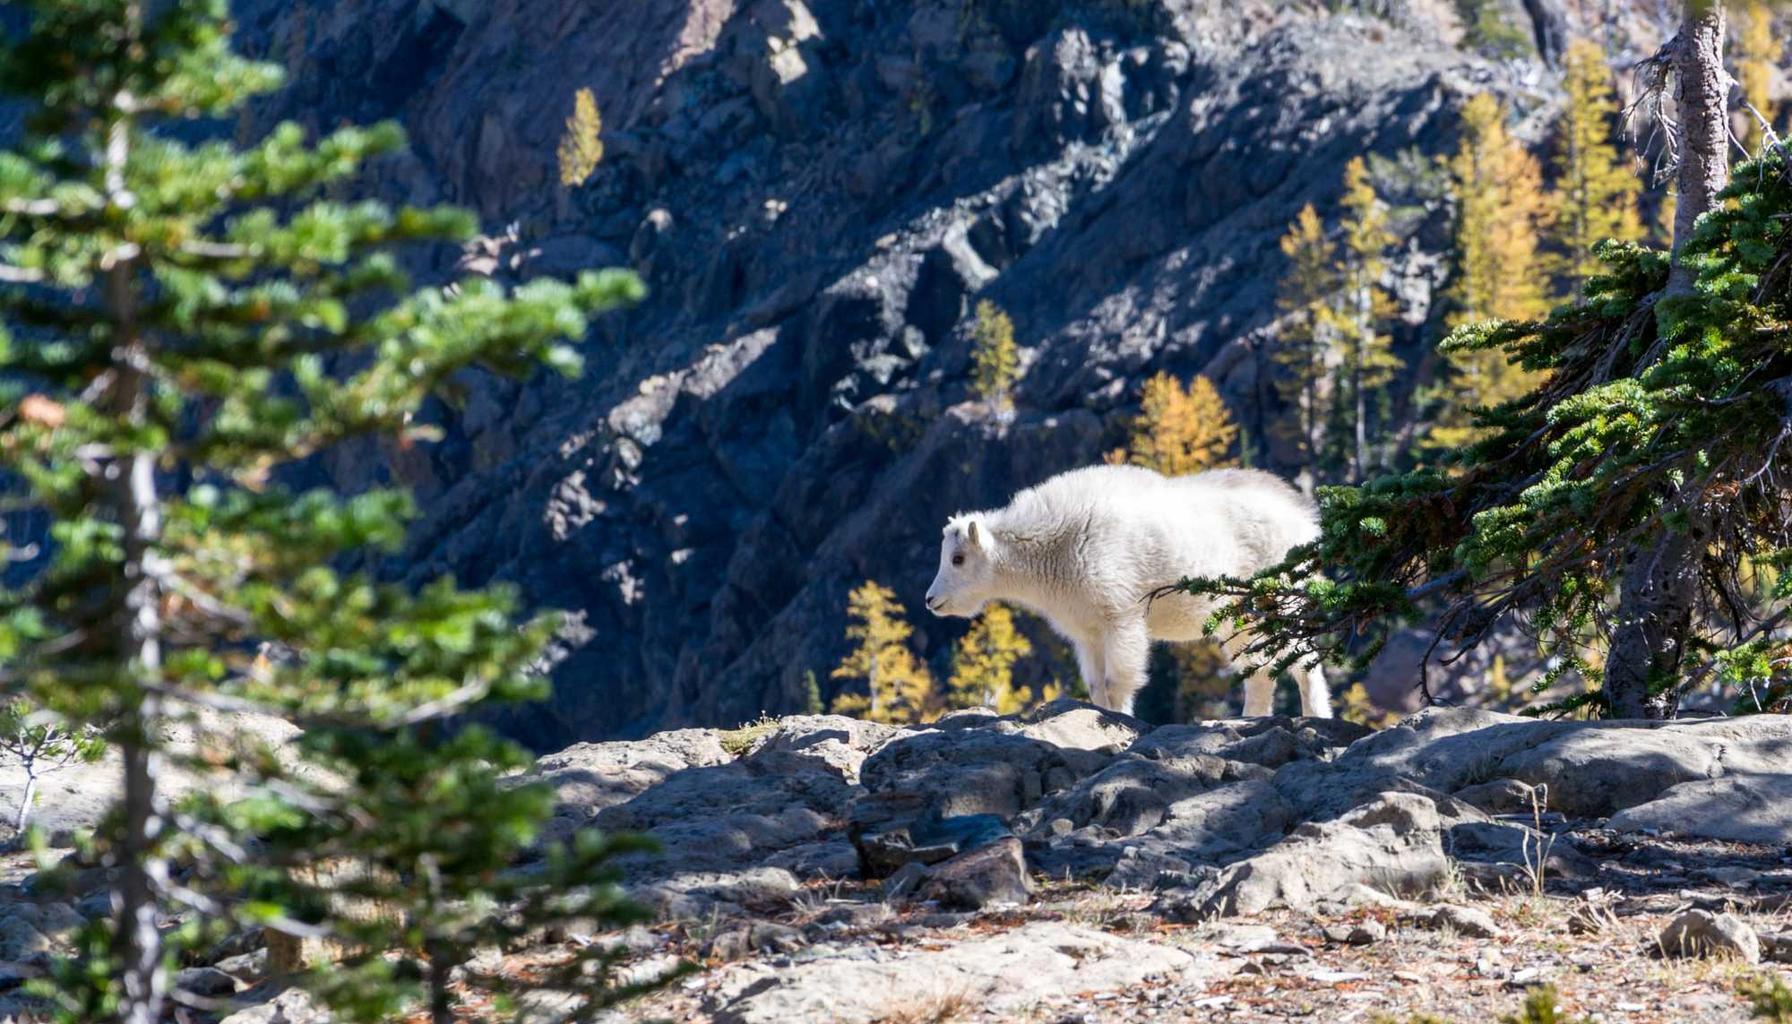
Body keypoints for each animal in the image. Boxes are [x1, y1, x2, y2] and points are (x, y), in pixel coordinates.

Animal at [924, 466, 1333, 720]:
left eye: (958, 558)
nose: (931, 600)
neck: (1054, 545)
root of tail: (1305, 519)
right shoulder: (1088, 631)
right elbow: (1095, 686)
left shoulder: (1120, 615)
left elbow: (1117, 681)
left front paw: (1120, 719)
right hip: (1238, 616)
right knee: (1259, 669)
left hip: (1282, 597)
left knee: (1305, 660)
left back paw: (1315, 715)